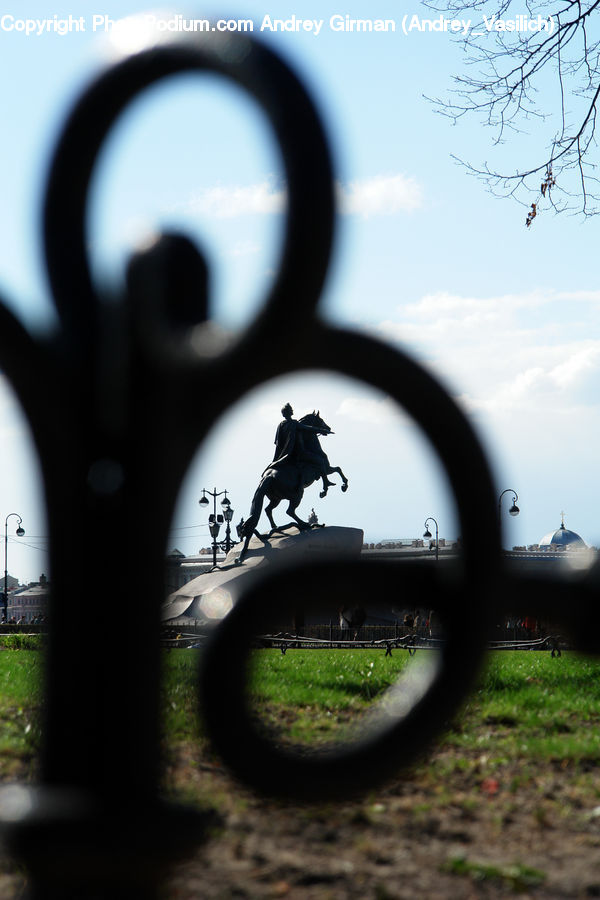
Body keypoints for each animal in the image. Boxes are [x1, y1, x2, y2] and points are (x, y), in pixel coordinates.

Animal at [237, 414, 350, 564]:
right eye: (320, 420)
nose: (328, 428)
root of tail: (267, 477)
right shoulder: (324, 467)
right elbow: (336, 470)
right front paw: (334, 487)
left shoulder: (326, 468)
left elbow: (337, 469)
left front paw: (337, 486)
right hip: (297, 494)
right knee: (289, 511)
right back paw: (305, 525)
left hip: (276, 498)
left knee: (268, 509)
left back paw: (276, 527)